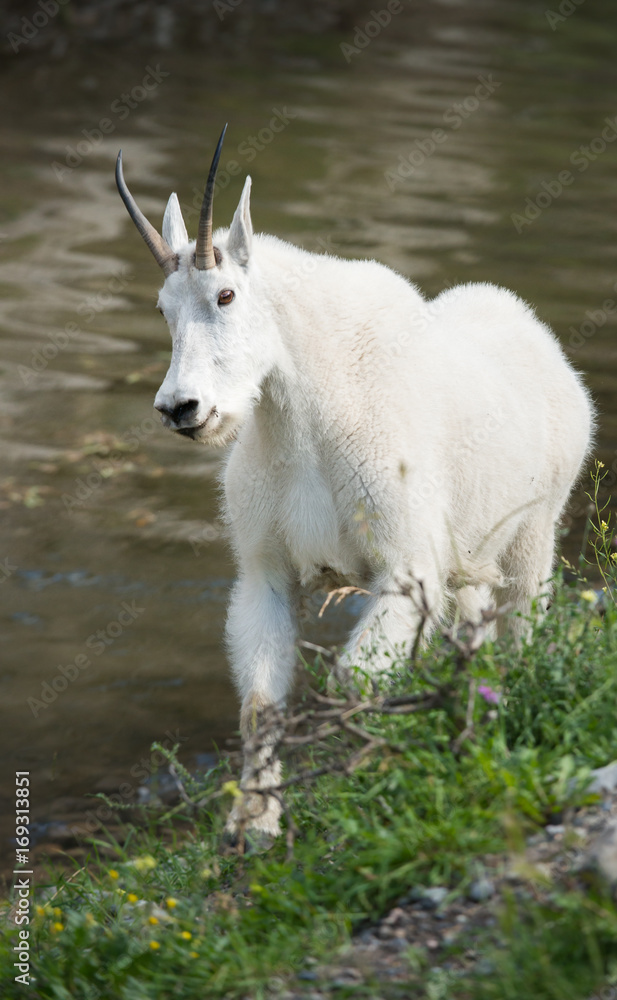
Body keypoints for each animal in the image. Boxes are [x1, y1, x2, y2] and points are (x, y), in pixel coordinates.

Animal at [116, 126, 594, 840]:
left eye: (226, 295)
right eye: (163, 308)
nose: (182, 408)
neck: (302, 417)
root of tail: (545, 346)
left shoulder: (405, 566)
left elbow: (355, 684)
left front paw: (368, 791)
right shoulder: (267, 571)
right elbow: (260, 702)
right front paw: (254, 823)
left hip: (533, 537)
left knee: (520, 632)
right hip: (472, 562)